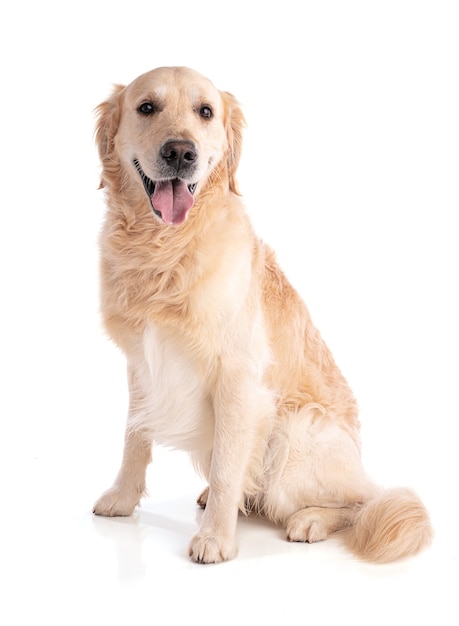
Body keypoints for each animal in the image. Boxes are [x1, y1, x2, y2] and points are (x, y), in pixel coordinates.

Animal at [92, 66, 432, 564]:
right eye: (146, 107)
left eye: (205, 111)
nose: (181, 152)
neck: (164, 249)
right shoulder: (141, 364)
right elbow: (134, 436)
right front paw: (122, 497)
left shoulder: (237, 376)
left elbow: (228, 465)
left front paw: (215, 537)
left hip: (295, 431)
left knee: (364, 501)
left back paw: (310, 519)